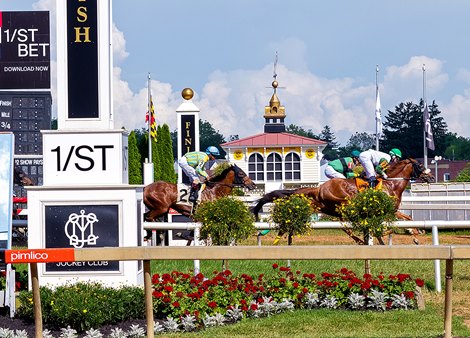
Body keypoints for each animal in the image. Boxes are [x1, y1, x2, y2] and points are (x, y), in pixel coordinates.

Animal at [252, 158, 436, 243]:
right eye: (420, 165)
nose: (432, 177)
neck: (391, 183)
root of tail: (317, 189)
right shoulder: (387, 210)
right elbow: (400, 221)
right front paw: (414, 235)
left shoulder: (392, 210)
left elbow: (407, 218)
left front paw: (415, 233)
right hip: (342, 203)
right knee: (345, 225)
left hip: (322, 209)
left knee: (344, 227)